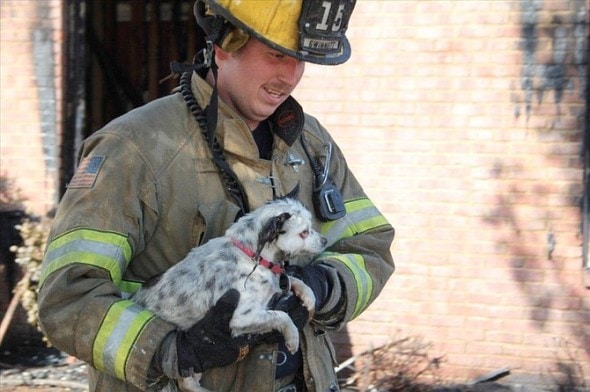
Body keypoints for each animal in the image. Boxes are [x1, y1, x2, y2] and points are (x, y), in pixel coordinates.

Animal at [133, 199, 328, 392]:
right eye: (304, 232)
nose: (325, 240)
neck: (251, 256)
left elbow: (294, 280)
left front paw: (309, 297)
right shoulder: (240, 318)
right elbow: (281, 315)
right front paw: (292, 337)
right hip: (186, 356)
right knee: (187, 383)